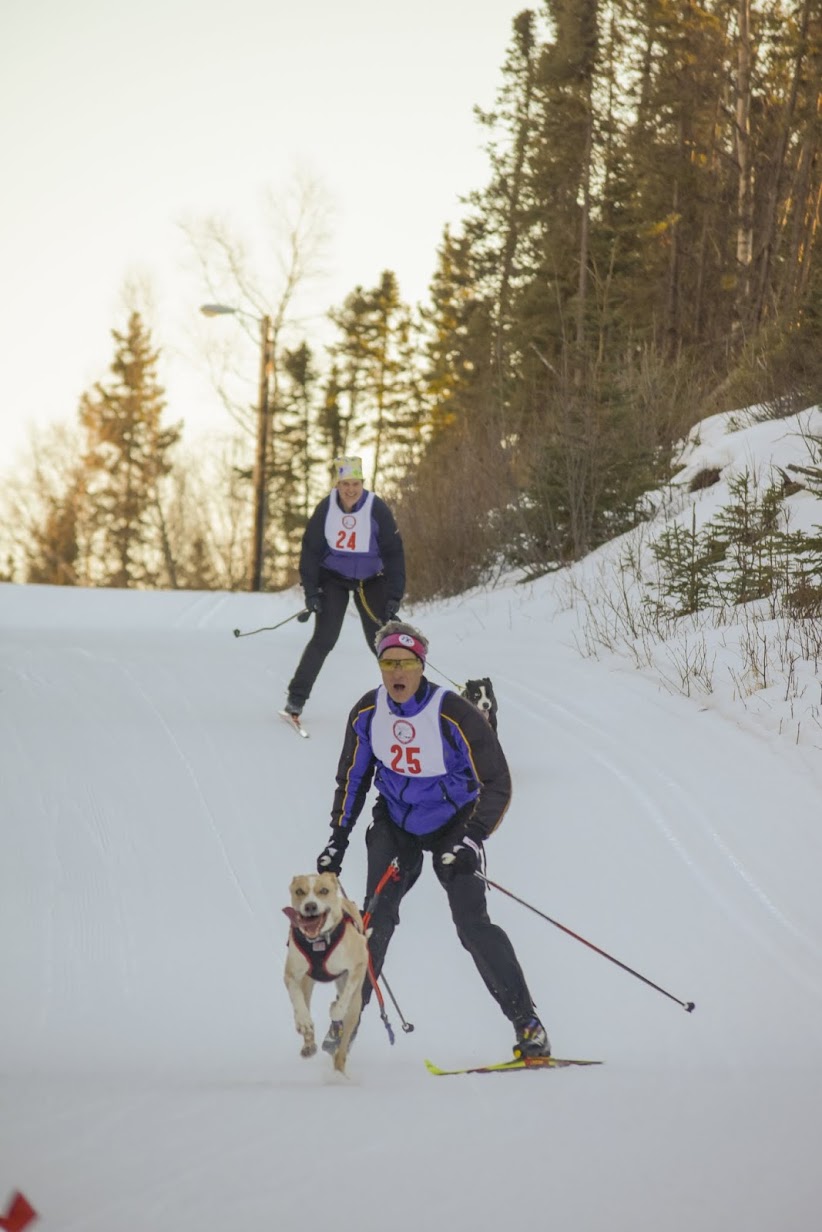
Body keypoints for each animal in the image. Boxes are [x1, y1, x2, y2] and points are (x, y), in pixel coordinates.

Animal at [285, 872, 369, 1074]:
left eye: (323, 891)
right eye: (300, 891)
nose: (310, 906)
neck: (319, 942)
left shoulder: (359, 962)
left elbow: (344, 998)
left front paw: (336, 1010)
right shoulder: (291, 973)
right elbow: (296, 997)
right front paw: (302, 1021)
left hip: (356, 1003)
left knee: (344, 1040)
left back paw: (339, 1069)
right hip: (307, 983)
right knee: (304, 1000)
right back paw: (308, 1043)